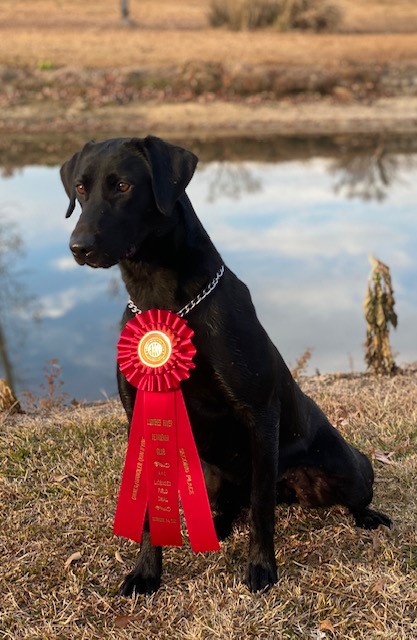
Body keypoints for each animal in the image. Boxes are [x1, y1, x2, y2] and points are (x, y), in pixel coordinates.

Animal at [60, 134, 392, 596]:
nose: (79, 246)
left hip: (345, 467)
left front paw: (262, 569)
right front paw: (146, 572)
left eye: (123, 186)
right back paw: (215, 525)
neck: (165, 300)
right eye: (81, 188)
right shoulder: (140, 415)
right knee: (229, 505)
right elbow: (148, 512)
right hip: (213, 473)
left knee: (347, 492)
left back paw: (368, 517)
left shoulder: (259, 414)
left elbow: (262, 511)